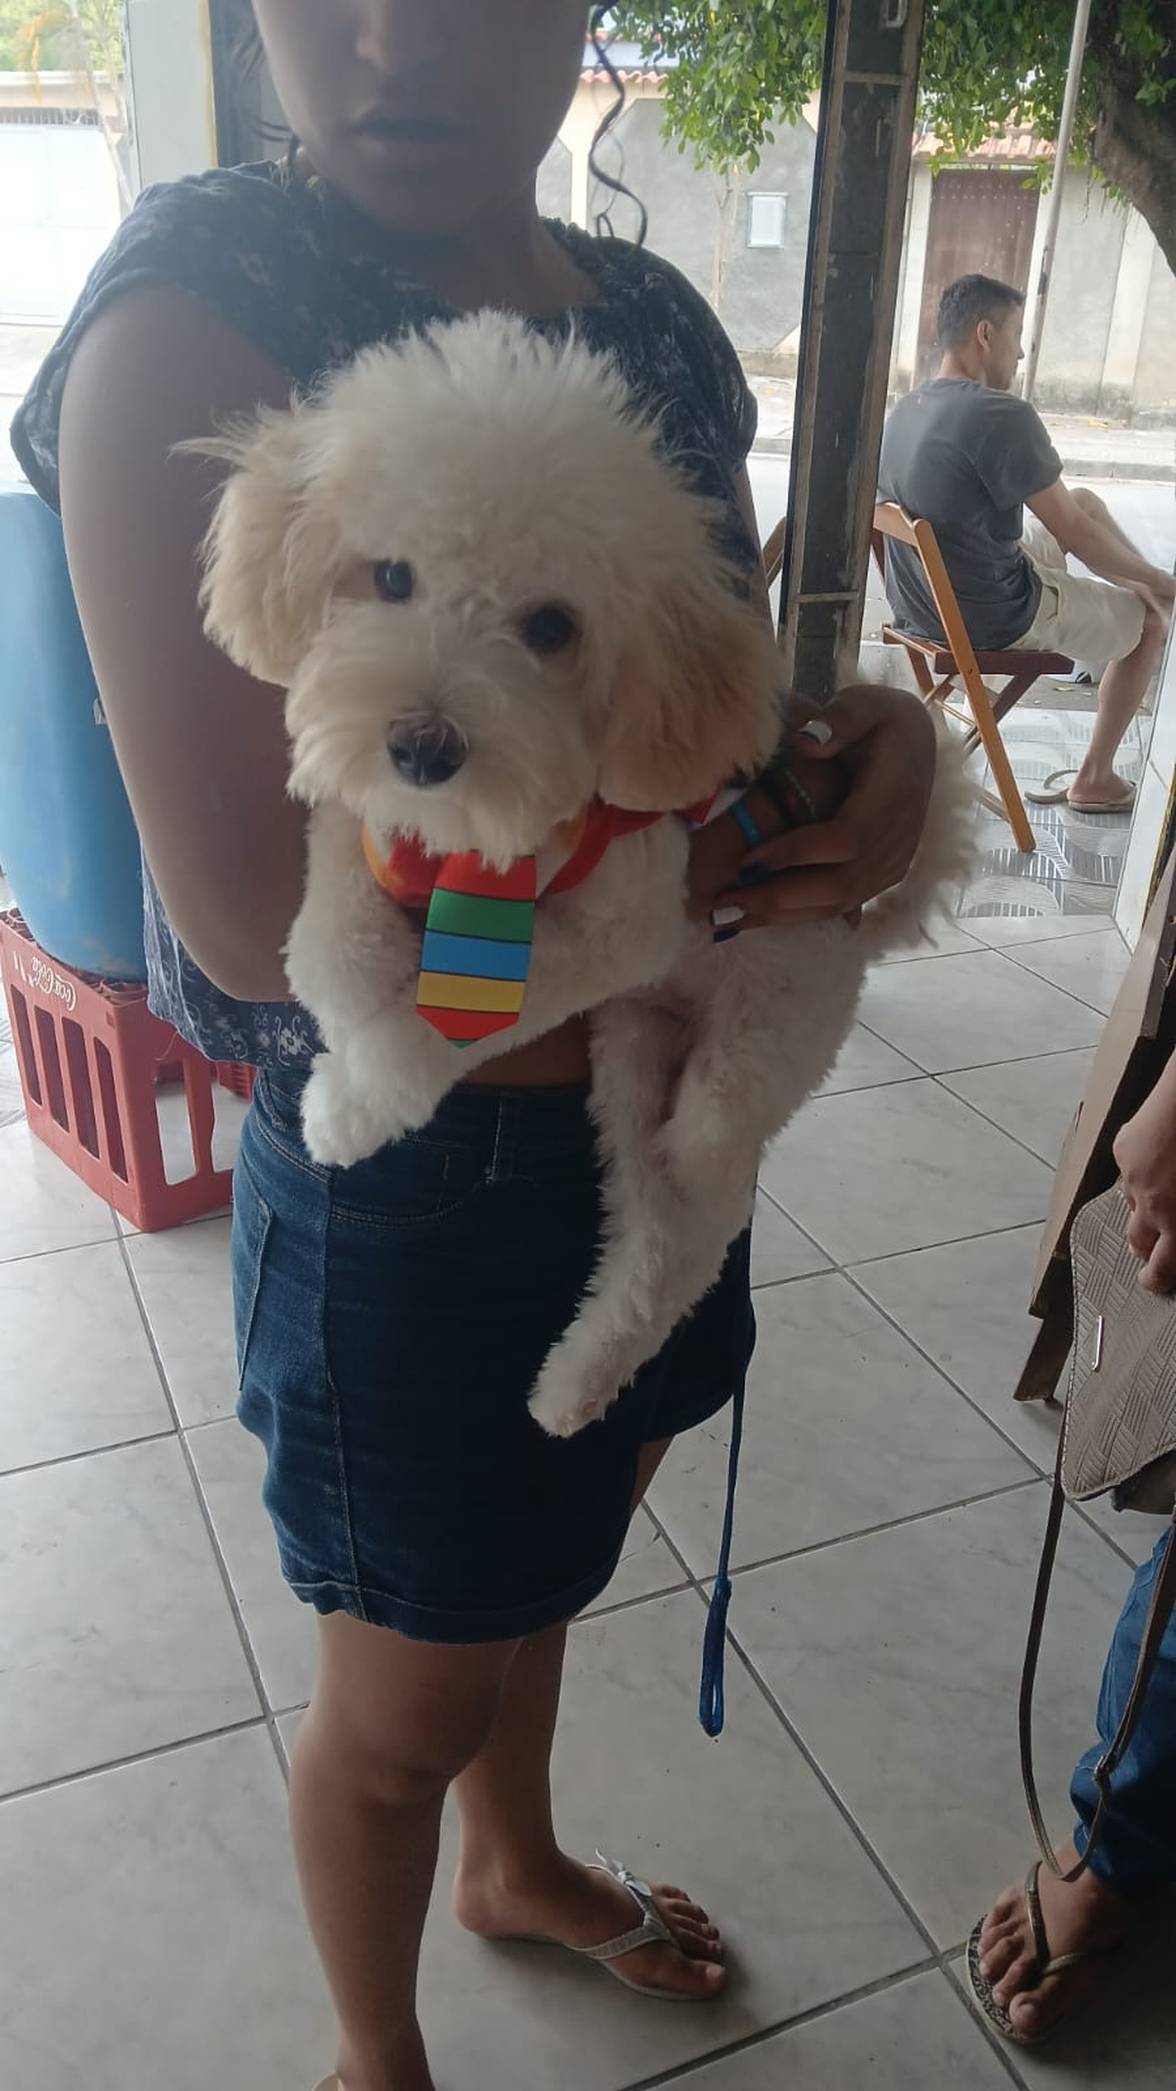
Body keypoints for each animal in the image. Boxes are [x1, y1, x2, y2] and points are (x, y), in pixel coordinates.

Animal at [197, 313, 972, 1437]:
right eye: (390, 578)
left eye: (552, 627)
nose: (422, 747)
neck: (479, 835)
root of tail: (853, 933)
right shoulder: (360, 826)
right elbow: (331, 942)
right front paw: (347, 1020)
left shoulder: (617, 929)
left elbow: (448, 1020)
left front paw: (357, 1100)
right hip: (629, 1059)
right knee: (655, 1239)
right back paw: (576, 1382)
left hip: (756, 1039)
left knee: (704, 1188)